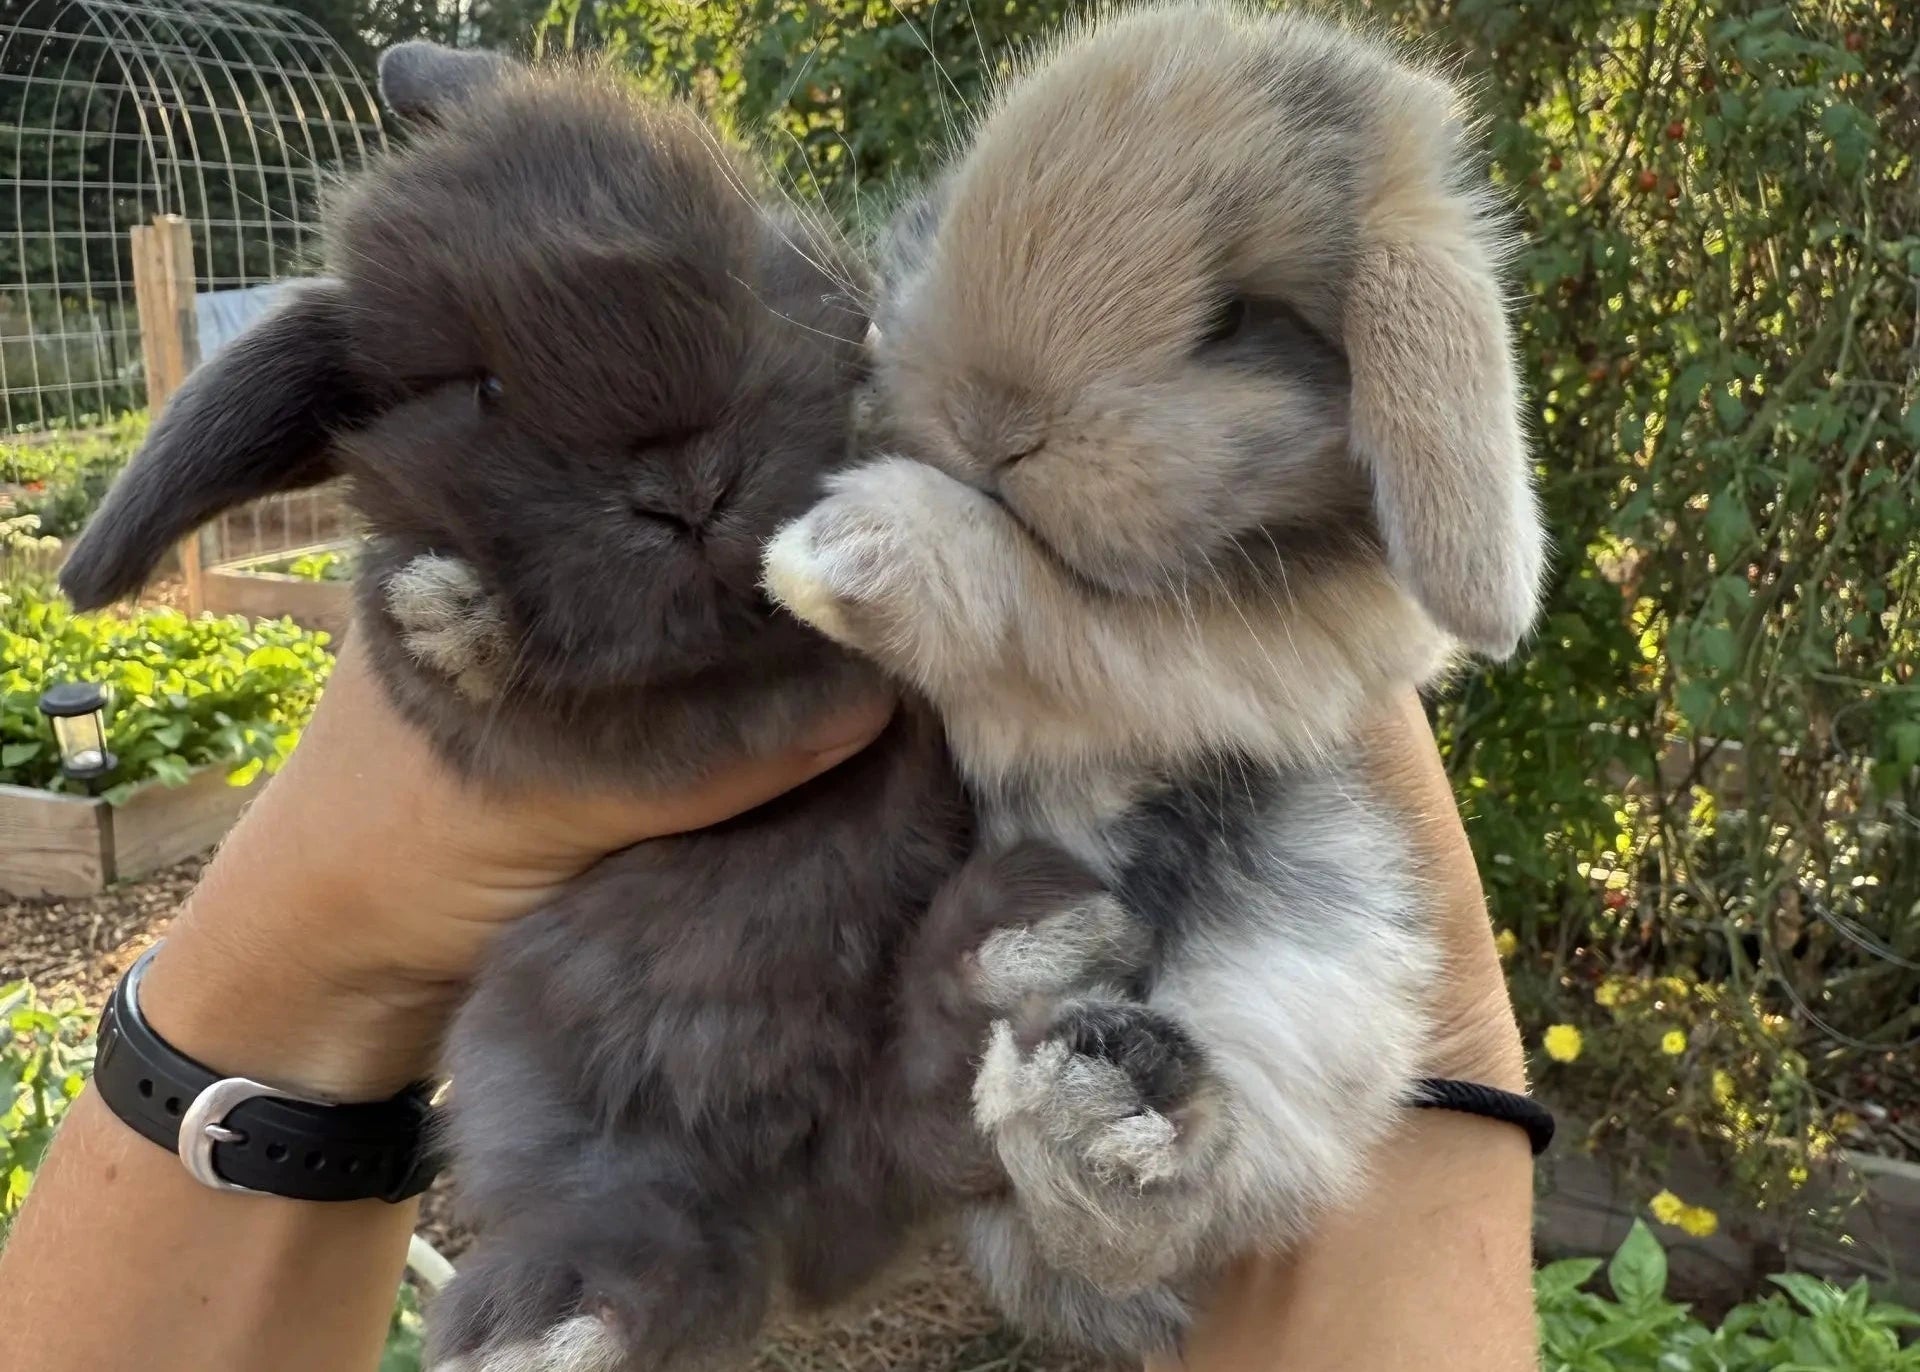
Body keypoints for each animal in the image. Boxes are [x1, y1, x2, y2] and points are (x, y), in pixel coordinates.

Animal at [55, 43, 1096, 1372]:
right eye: (483, 386)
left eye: (739, 267)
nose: (692, 488)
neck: (740, 642)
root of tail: (808, 1226)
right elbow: (525, 681)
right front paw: (451, 614)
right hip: (554, 1096)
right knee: (663, 1243)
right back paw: (551, 1325)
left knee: (931, 1114)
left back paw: (1018, 952)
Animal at [763, 1, 1547, 1356]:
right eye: (950, 208)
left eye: (1236, 321)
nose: (993, 416)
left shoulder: (1237, 663)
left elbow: (1049, 612)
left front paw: (846, 552)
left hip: (1314, 946)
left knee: (1198, 1187)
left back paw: (1096, 1110)